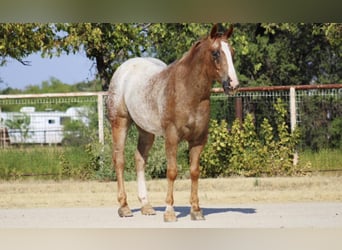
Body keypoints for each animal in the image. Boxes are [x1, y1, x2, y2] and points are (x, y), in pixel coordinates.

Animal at [106, 23, 238, 223]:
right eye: (215, 53)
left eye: (232, 51)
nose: (233, 84)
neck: (187, 91)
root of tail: (124, 69)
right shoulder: (172, 137)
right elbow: (172, 171)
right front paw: (169, 212)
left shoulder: (198, 140)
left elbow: (194, 171)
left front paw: (196, 210)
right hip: (120, 123)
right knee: (119, 160)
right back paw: (124, 207)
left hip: (146, 131)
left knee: (140, 159)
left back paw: (146, 206)